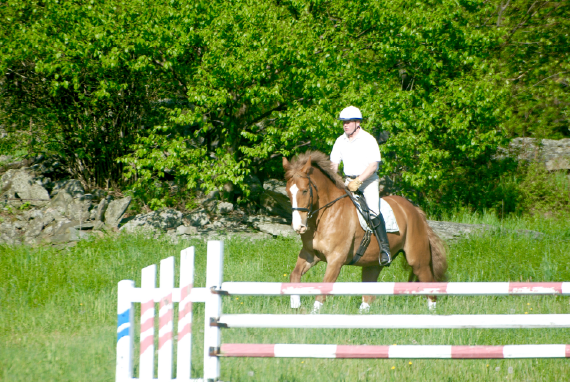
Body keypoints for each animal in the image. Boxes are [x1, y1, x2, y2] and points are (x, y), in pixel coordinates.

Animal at [282, 150, 446, 314]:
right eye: (288, 193)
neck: (325, 215)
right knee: (369, 294)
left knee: (430, 285)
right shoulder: (310, 254)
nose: (299, 227)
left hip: (418, 261)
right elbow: (294, 275)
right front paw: (296, 304)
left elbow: (324, 288)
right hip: (373, 263)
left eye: (304, 191)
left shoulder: (336, 259)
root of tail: (415, 211)